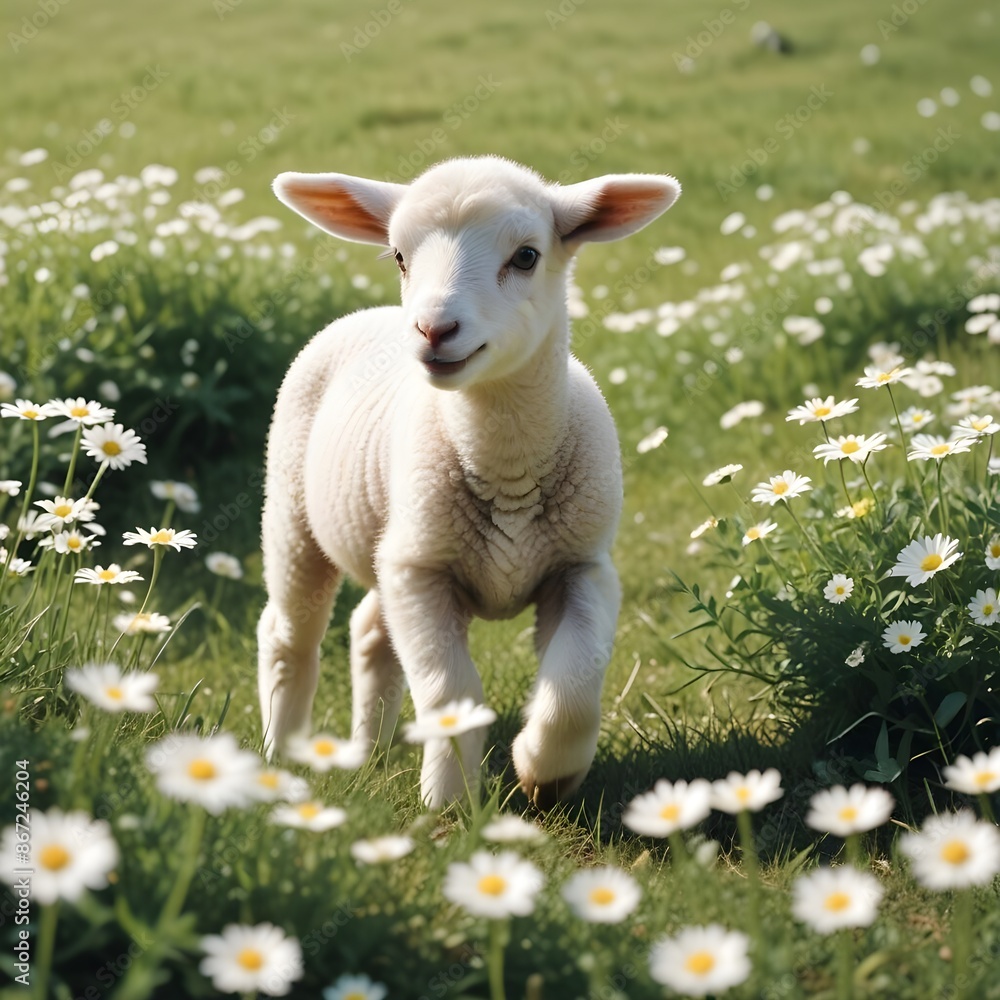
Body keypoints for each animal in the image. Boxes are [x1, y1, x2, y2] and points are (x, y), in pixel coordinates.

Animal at [258, 155, 680, 808]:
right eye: (399, 256)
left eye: (527, 256)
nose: (433, 329)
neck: (506, 466)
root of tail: (372, 316)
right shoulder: (423, 573)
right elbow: (451, 691)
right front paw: (450, 801)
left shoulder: (582, 566)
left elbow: (576, 684)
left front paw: (544, 771)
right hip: (293, 510)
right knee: (287, 635)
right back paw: (280, 756)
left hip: (392, 539)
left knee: (370, 630)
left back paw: (370, 750)